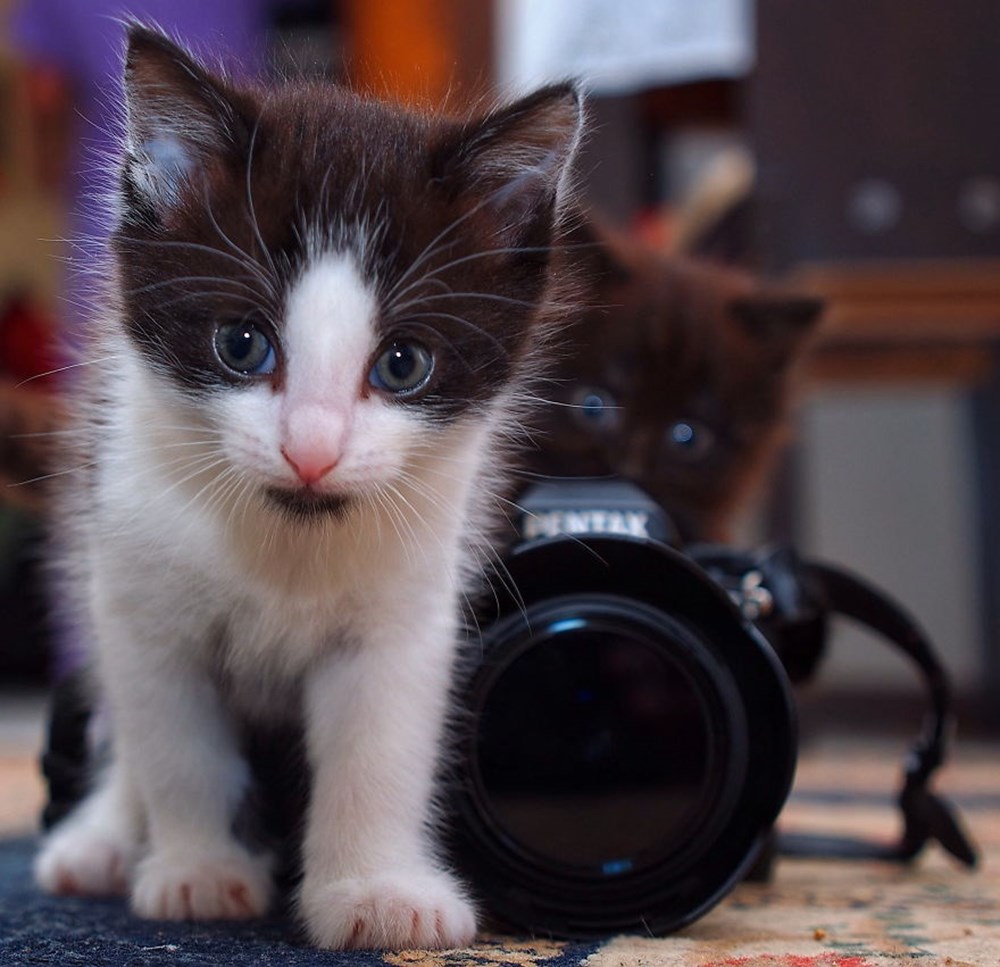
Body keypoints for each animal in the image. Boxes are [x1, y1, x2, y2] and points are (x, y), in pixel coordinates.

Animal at [35, 26, 584, 948]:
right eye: (240, 343)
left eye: (402, 363)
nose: (312, 450)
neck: (286, 541)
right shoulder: (138, 594)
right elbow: (173, 745)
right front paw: (198, 870)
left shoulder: (405, 608)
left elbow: (377, 748)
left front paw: (378, 891)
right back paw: (100, 839)